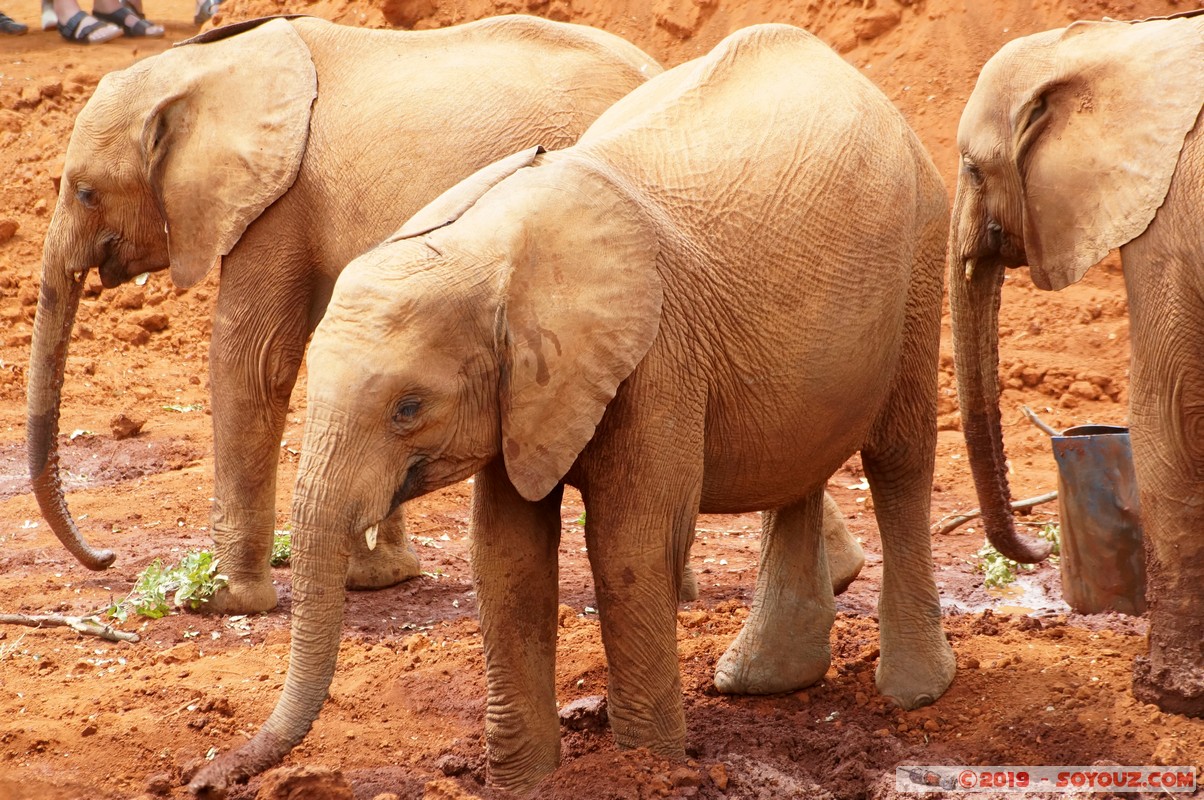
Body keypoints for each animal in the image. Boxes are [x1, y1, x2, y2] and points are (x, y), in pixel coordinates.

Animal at [28, 10, 664, 612]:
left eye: (85, 192)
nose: (105, 560)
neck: (202, 68)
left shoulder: (279, 202)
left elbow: (252, 362)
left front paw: (221, 601)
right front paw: (381, 578)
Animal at [192, 23, 953, 795]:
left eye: (408, 407)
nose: (208, 779)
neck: (487, 249)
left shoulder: (655, 357)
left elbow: (629, 547)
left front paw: (650, 768)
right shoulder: (523, 396)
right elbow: (507, 557)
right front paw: (524, 782)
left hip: (922, 250)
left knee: (897, 458)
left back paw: (915, 691)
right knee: (801, 462)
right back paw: (763, 683)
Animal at [948, 10, 1204, 713]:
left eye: (973, 170)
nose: (1039, 548)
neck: (1115, 41)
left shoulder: (1169, 219)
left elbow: (1169, 414)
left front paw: (1168, 695)